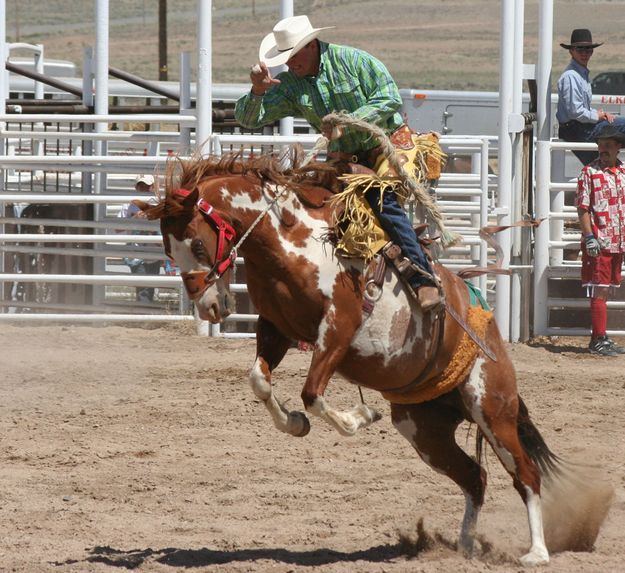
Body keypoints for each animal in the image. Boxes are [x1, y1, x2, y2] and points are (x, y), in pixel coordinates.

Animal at [140, 153, 608, 568]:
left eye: (197, 242)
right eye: (168, 249)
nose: (208, 306)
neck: (292, 242)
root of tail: (489, 330)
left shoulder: (338, 329)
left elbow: (312, 393)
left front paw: (357, 418)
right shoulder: (276, 329)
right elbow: (259, 379)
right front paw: (295, 423)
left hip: (492, 408)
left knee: (525, 474)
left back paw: (537, 552)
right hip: (424, 430)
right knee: (476, 477)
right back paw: (464, 547)